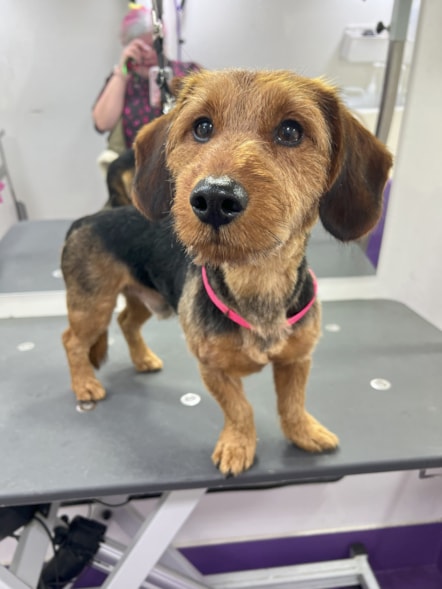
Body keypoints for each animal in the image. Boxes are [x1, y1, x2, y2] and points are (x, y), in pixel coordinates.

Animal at [60, 70, 392, 474]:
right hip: (92, 305)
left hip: (144, 296)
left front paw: (304, 432)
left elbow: (292, 403)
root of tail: (88, 219)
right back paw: (84, 384)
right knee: (72, 340)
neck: (257, 282)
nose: (215, 198)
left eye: (291, 131)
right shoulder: (212, 368)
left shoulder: (297, 359)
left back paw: (142, 359)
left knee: (125, 322)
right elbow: (240, 409)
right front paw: (238, 446)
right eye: (202, 127)